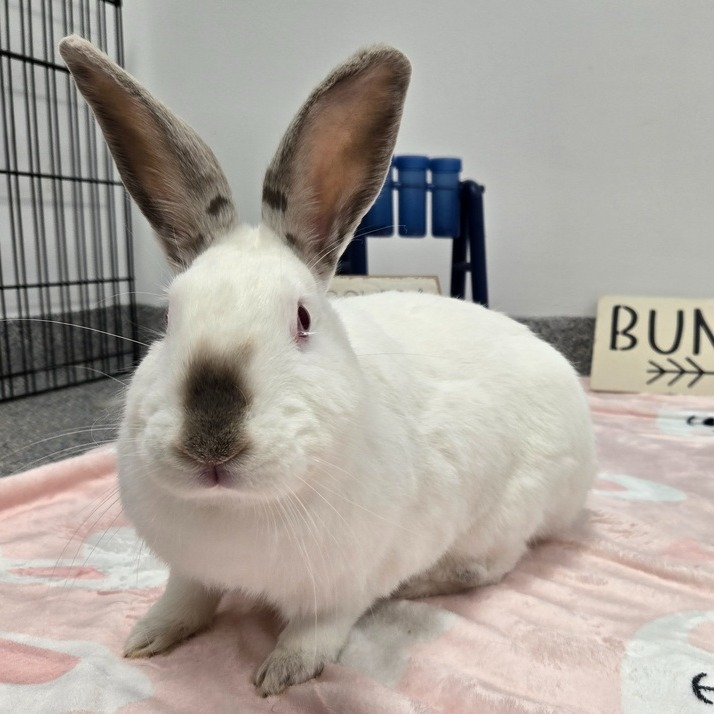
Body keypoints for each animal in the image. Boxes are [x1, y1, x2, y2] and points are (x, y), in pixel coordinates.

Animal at [59, 35, 596, 696]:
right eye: (166, 320)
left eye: (303, 319)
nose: (210, 443)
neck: (238, 509)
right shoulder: (190, 570)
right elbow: (186, 599)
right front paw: (147, 636)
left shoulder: (343, 587)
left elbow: (319, 630)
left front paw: (281, 673)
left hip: (508, 513)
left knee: (490, 566)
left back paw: (423, 583)